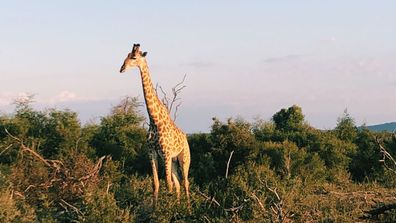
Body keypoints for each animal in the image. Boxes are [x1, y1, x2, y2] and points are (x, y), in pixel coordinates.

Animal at [119, 43, 190, 206]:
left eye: (134, 57)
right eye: (126, 55)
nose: (121, 68)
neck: (154, 120)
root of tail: (185, 138)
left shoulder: (165, 153)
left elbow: (168, 184)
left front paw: (167, 210)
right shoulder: (152, 153)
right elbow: (156, 183)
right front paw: (155, 209)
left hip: (184, 158)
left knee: (185, 182)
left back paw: (189, 209)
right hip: (174, 161)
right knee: (178, 183)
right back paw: (179, 206)